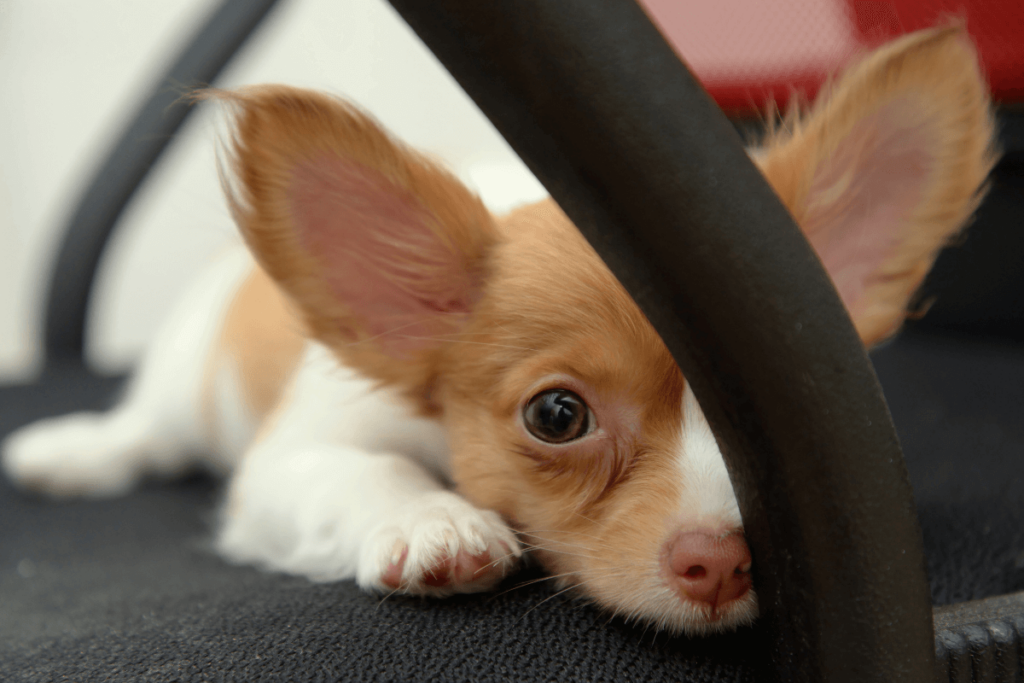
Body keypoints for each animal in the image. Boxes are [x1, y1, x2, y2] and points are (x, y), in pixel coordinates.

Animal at [0, 26, 991, 634]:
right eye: (557, 416)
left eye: (787, 409)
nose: (720, 562)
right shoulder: (294, 458)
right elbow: (370, 472)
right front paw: (435, 522)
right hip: (183, 384)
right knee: (142, 429)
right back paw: (72, 450)